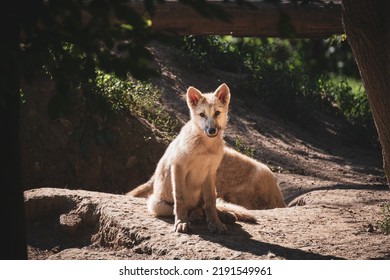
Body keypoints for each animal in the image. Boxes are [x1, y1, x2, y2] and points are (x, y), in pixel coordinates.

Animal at [142, 83, 254, 234]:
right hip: (155, 204)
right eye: (202, 114)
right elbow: (180, 200)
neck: (205, 148)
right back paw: (195, 216)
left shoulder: (210, 173)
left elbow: (210, 202)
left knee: (206, 206)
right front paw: (181, 222)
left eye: (217, 113)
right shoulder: (178, 167)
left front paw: (215, 223)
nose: (212, 130)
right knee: (185, 209)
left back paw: (222, 215)